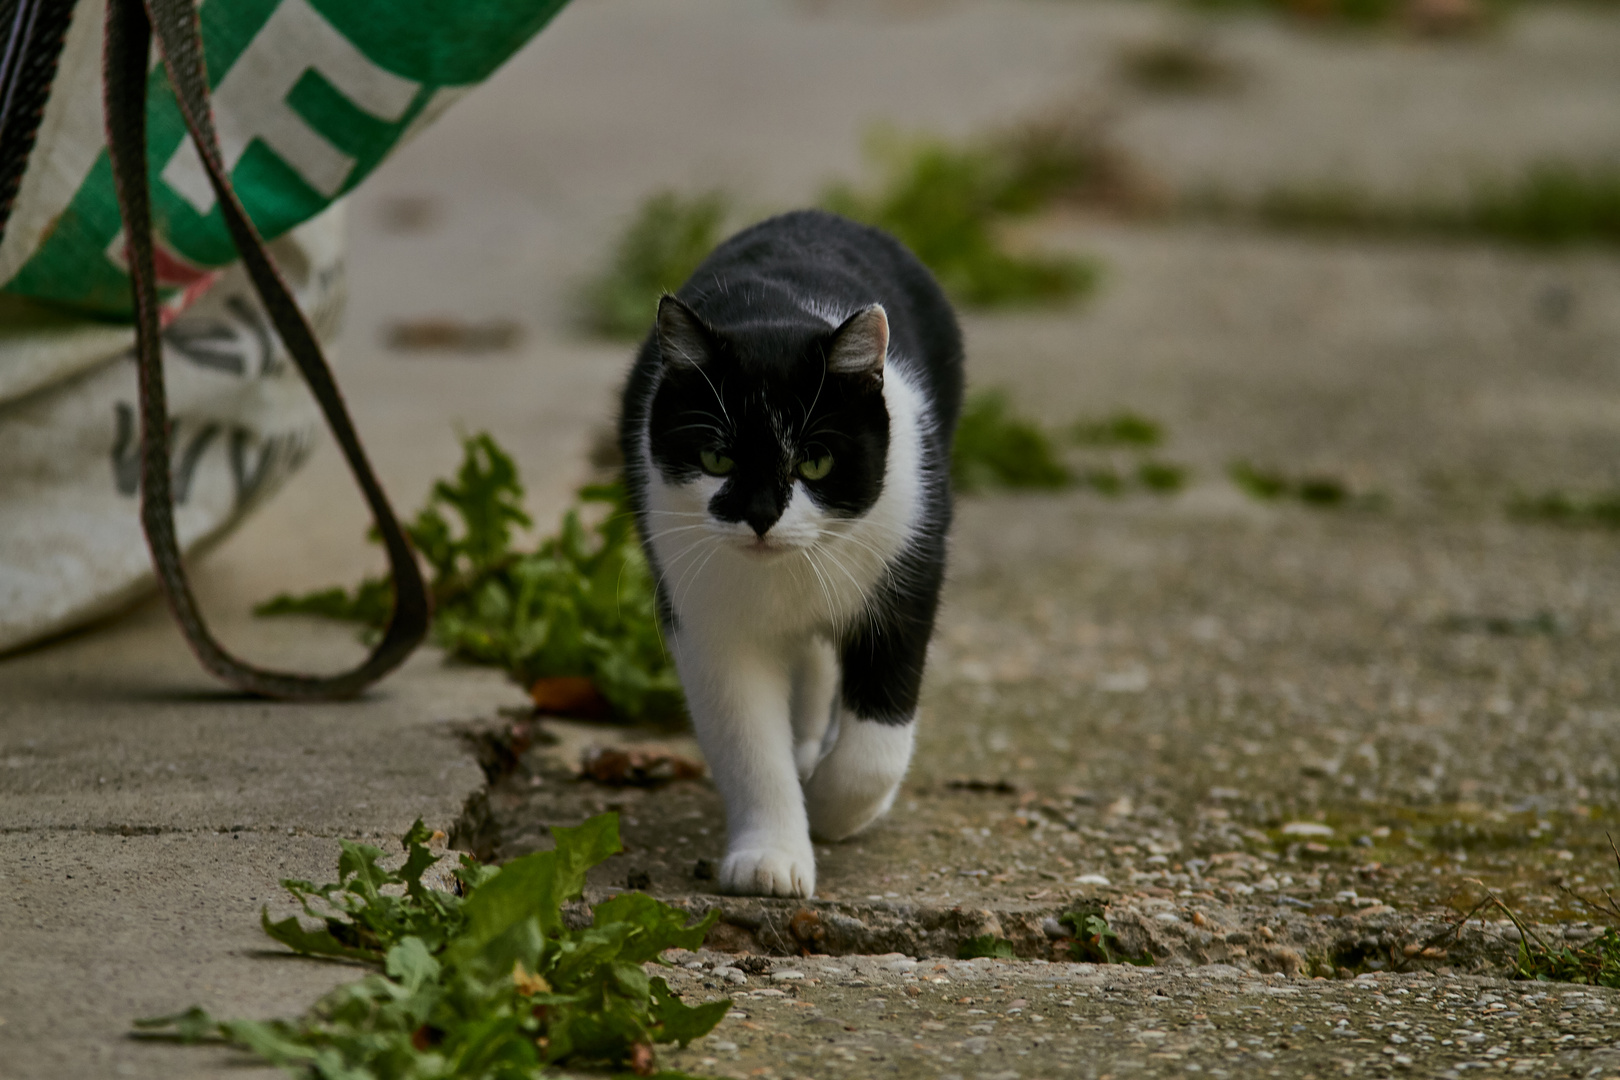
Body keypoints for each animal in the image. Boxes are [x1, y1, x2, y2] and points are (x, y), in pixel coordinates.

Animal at [612, 207, 952, 900]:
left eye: (815, 462)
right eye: (716, 457)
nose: (762, 515)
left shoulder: (910, 564)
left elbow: (877, 743)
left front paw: (831, 808)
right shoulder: (708, 620)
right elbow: (747, 741)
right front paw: (770, 855)